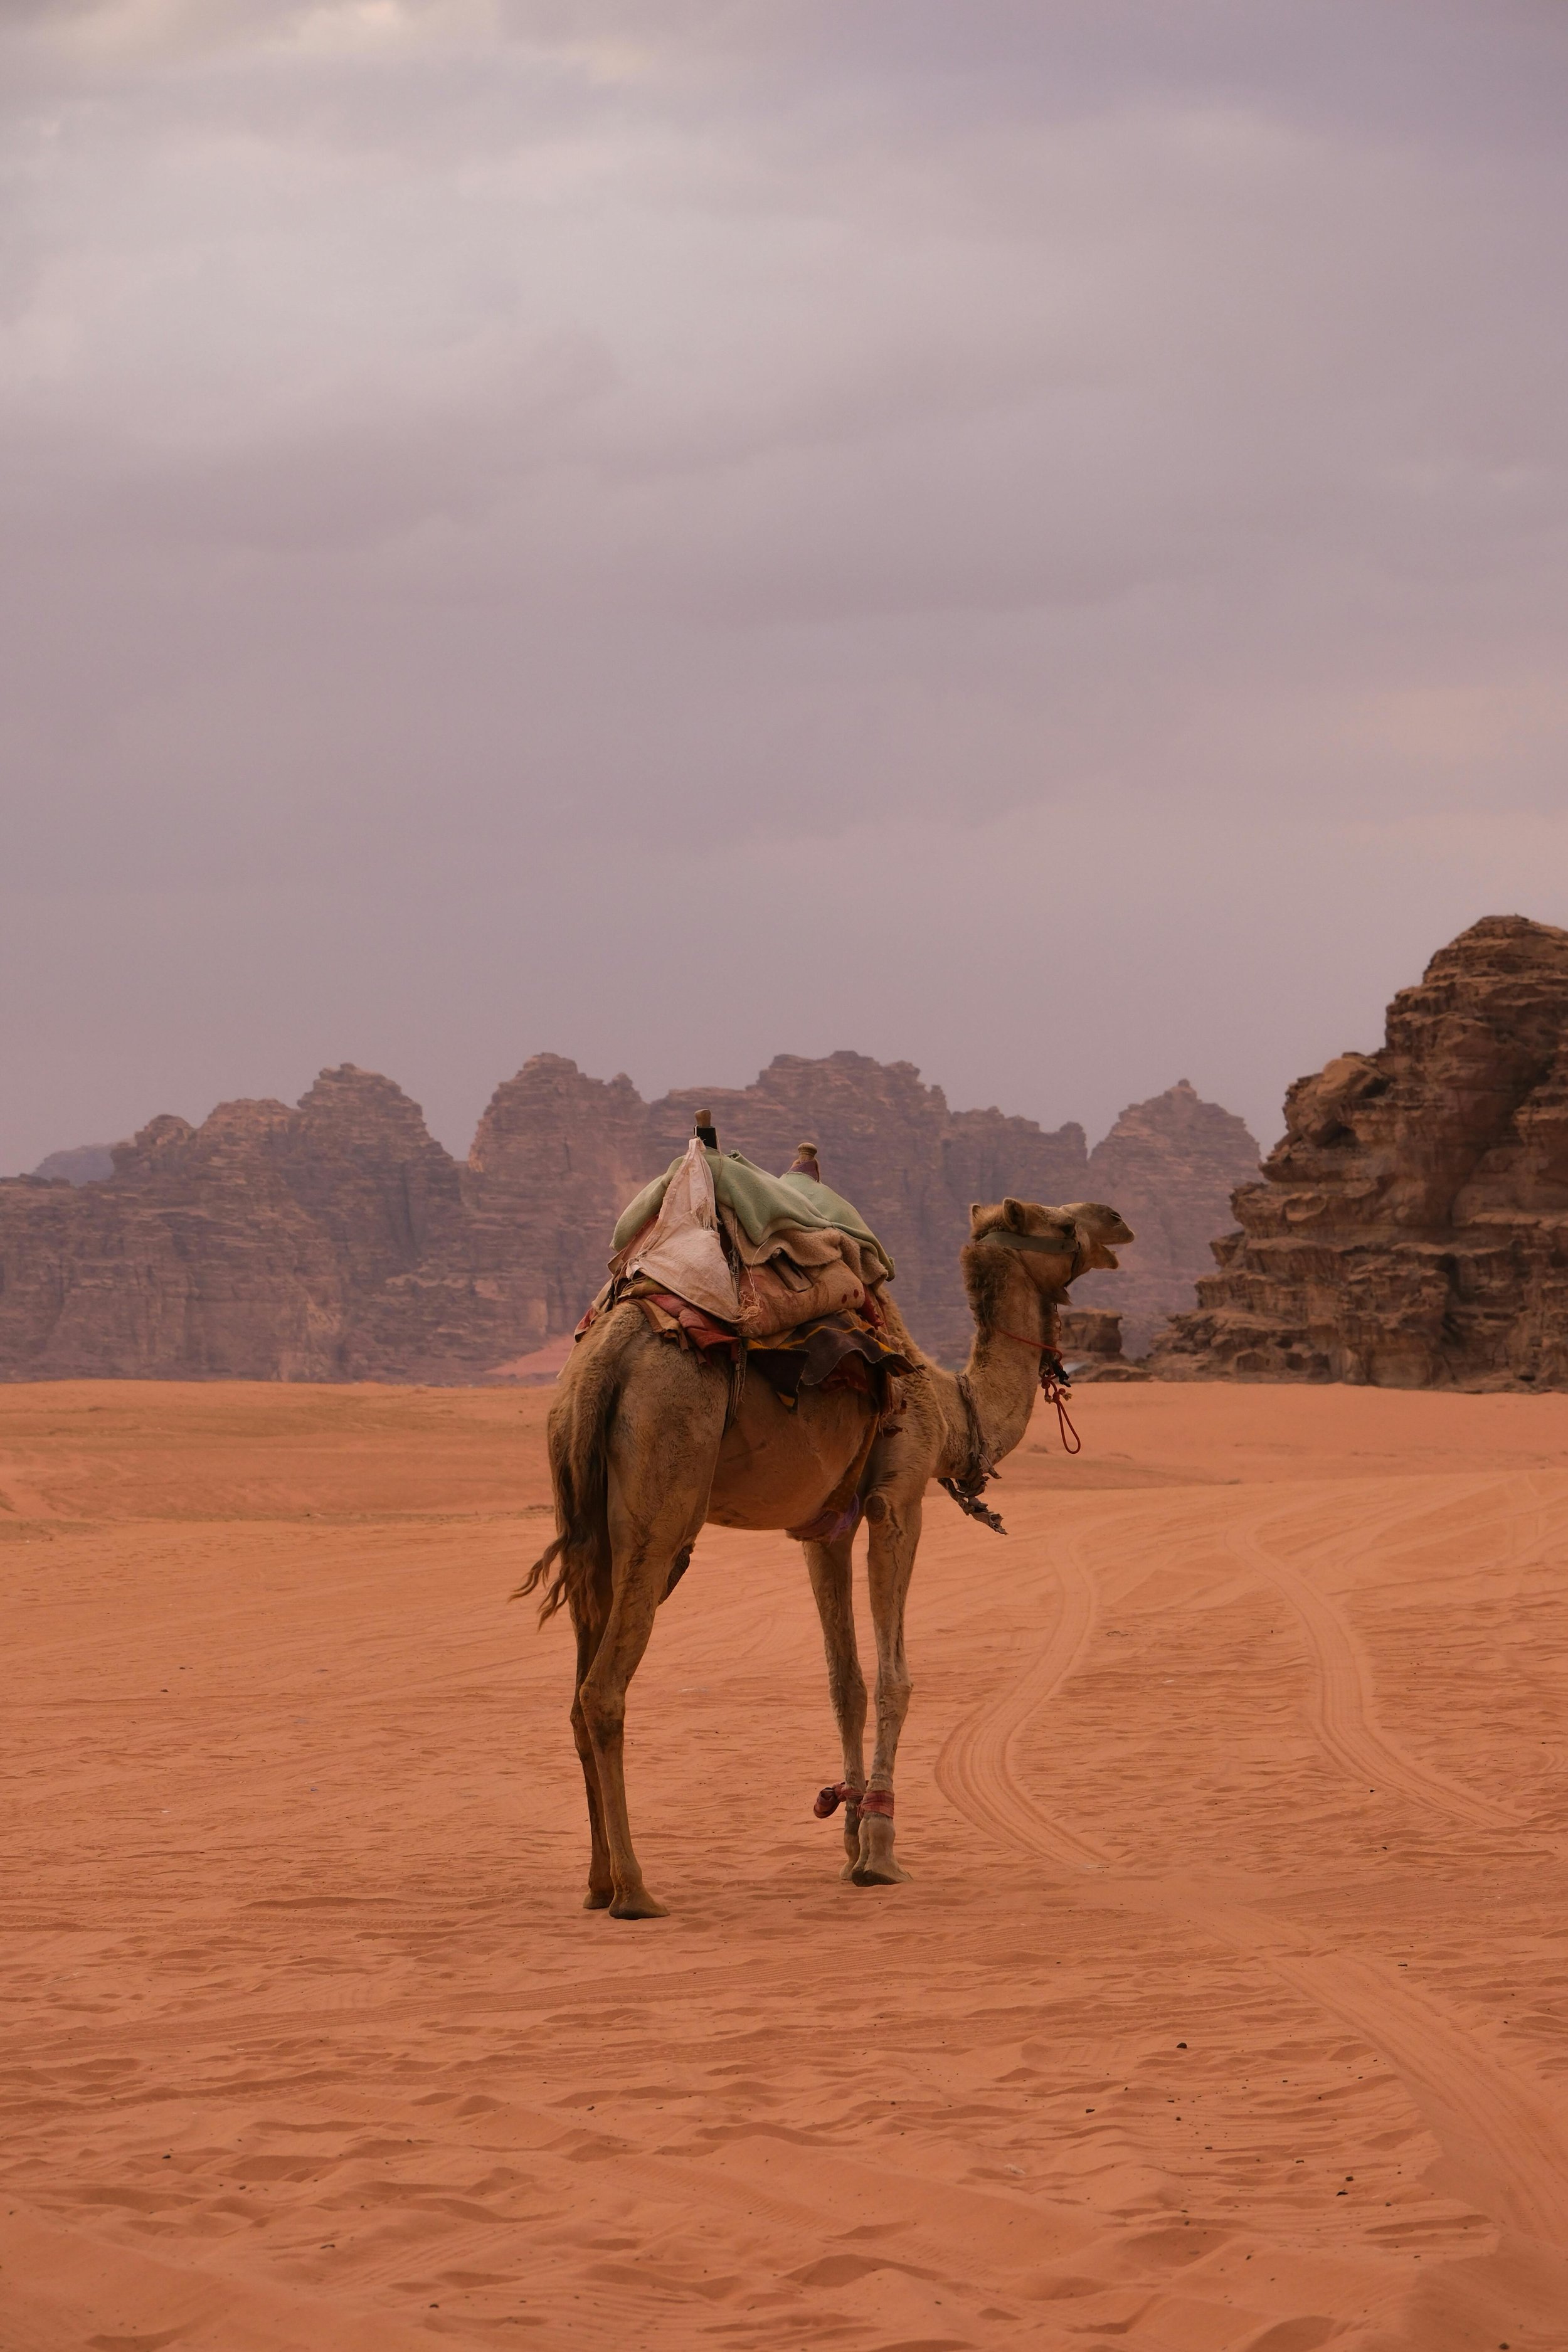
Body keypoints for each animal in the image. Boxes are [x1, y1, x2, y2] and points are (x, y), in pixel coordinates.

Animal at [519, 1191, 1134, 1918]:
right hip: (661, 1503)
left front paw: (849, 1839)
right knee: (603, 1691)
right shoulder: (898, 1500)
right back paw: (636, 1891)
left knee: (576, 1692)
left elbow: (846, 1682)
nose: (1117, 1220)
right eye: (1062, 1223)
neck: (950, 1407)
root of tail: (601, 1364)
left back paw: (595, 1883)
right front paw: (881, 1854)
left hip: (587, 1519)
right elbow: (896, 1678)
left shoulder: (823, 1530)